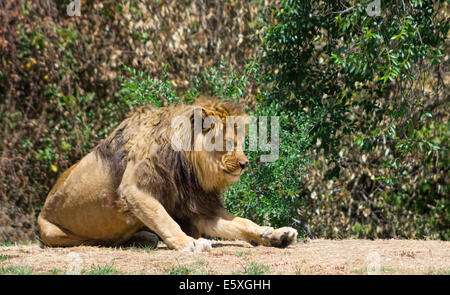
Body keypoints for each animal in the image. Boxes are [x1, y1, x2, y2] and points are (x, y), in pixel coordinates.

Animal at [37, 99, 298, 252]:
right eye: (228, 143)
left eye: (242, 143)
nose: (245, 164)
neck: (189, 167)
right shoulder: (135, 190)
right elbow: (164, 219)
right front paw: (190, 243)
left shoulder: (197, 207)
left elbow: (243, 223)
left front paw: (277, 234)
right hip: (53, 232)